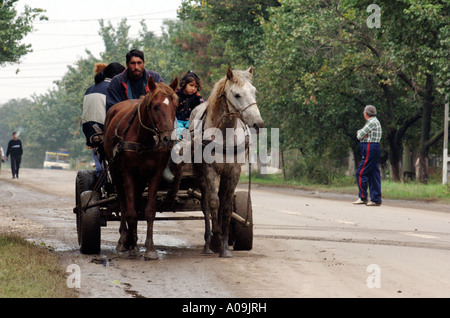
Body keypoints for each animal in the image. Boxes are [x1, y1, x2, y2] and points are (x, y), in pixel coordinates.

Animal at [103, 76, 178, 260]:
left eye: (175, 106)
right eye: (155, 106)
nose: (168, 139)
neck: (144, 140)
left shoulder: (154, 174)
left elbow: (149, 211)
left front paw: (150, 248)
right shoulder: (128, 174)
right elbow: (130, 211)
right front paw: (132, 245)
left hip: (141, 178)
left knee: (135, 202)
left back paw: (133, 237)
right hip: (115, 172)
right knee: (123, 204)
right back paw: (124, 240)